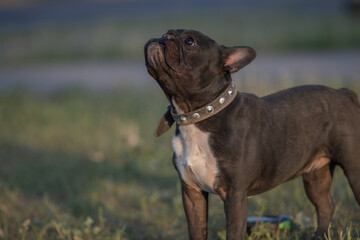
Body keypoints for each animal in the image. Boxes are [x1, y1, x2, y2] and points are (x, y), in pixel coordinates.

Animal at [143, 29, 360, 239]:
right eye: (167, 31)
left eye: (190, 42)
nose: (164, 37)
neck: (198, 115)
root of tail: (343, 93)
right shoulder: (192, 193)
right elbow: (197, 231)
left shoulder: (234, 195)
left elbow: (234, 232)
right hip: (315, 174)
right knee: (325, 205)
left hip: (353, 169)